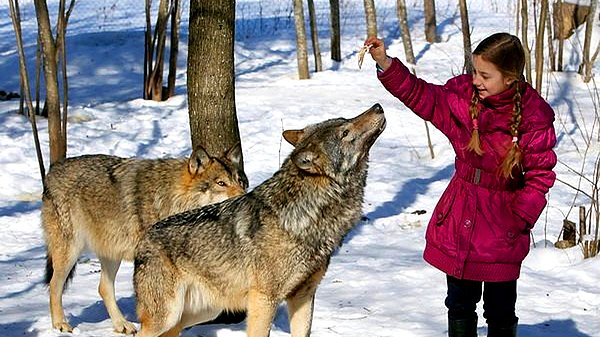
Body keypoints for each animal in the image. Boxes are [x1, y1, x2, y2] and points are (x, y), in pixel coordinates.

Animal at [42, 144, 247, 334]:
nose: (244, 197)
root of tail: (52, 169)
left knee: (103, 288)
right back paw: (60, 324)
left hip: (111, 254)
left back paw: (122, 325)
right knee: (54, 285)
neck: (172, 199)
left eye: (240, 182)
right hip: (70, 251)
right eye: (221, 183)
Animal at [132, 103, 384, 336]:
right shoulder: (263, 299)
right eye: (345, 131)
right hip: (166, 317)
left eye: (345, 122)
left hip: (197, 314)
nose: (378, 107)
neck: (307, 214)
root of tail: (144, 238)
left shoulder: (303, 296)